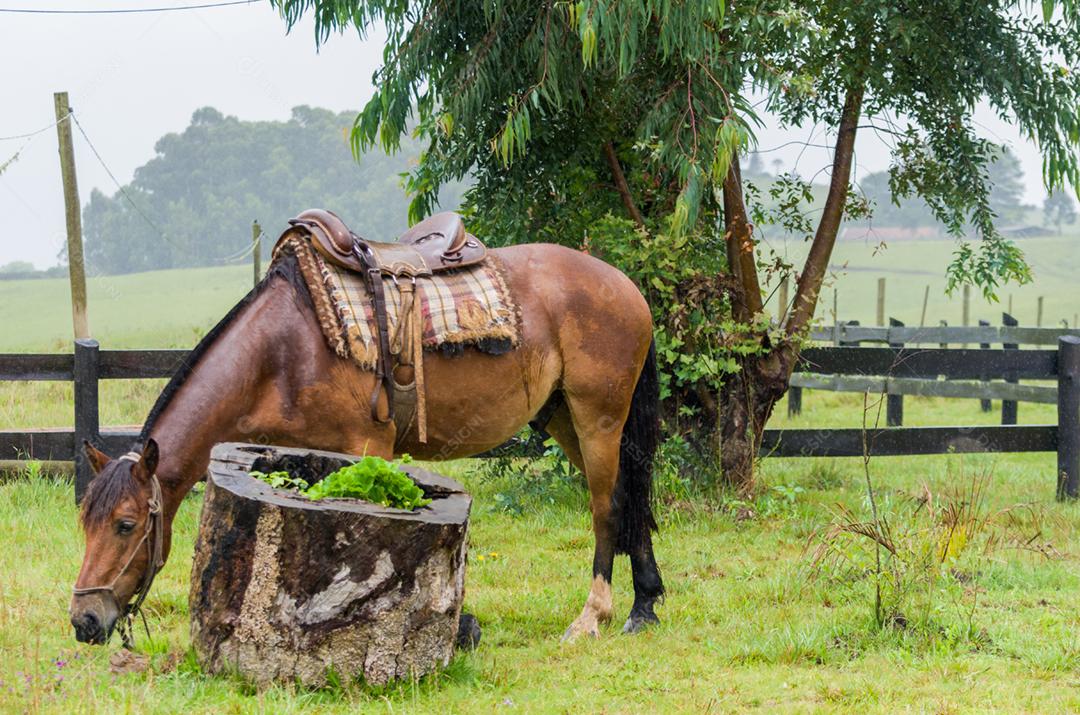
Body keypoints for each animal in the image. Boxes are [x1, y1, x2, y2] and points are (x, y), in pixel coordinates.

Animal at [69, 241, 664, 647]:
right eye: (85, 523)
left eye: (126, 525)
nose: (84, 620)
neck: (282, 351)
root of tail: (626, 285)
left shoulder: (369, 449)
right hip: (564, 418)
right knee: (630, 499)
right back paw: (644, 607)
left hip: (597, 418)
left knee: (607, 507)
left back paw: (593, 616)